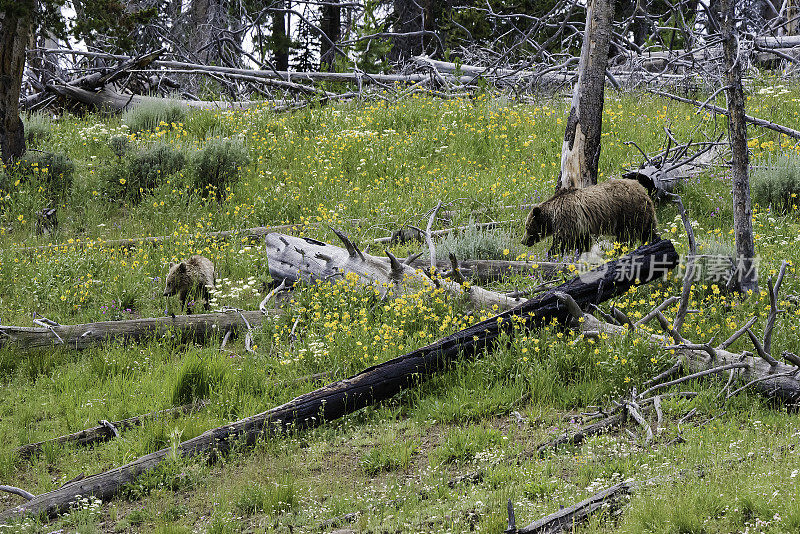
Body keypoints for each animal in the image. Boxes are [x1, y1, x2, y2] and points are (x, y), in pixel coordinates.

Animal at [520, 179, 660, 256]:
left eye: (527, 228)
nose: (523, 241)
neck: (551, 217)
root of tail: (642, 190)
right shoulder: (580, 225)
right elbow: (583, 242)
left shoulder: (567, 218)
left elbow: (563, 241)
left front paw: (552, 253)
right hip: (645, 214)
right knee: (649, 231)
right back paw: (654, 242)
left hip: (628, 213)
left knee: (626, 236)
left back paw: (618, 251)